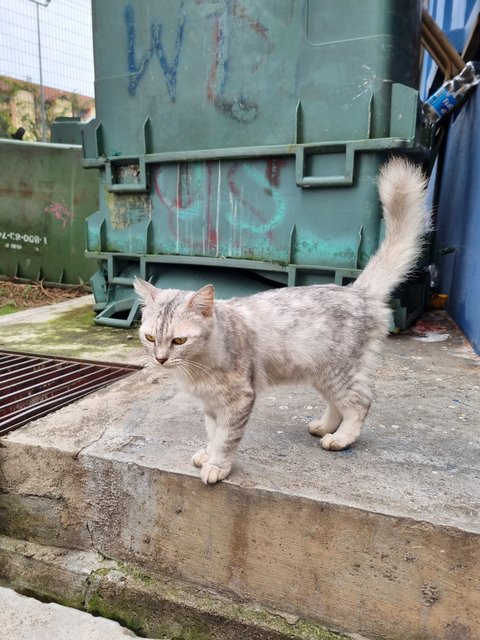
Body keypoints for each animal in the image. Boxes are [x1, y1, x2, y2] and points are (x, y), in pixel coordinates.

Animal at [134, 156, 428, 484]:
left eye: (179, 340)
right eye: (150, 337)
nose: (160, 359)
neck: (198, 366)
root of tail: (357, 290)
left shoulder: (238, 400)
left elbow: (226, 438)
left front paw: (218, 465)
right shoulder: (211, 405)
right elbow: (212, 433)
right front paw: (207, 454)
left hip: (340, 373)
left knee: (359, 404)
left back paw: (340, 439)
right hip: (322, 373)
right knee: (338, 404)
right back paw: (325, 427)